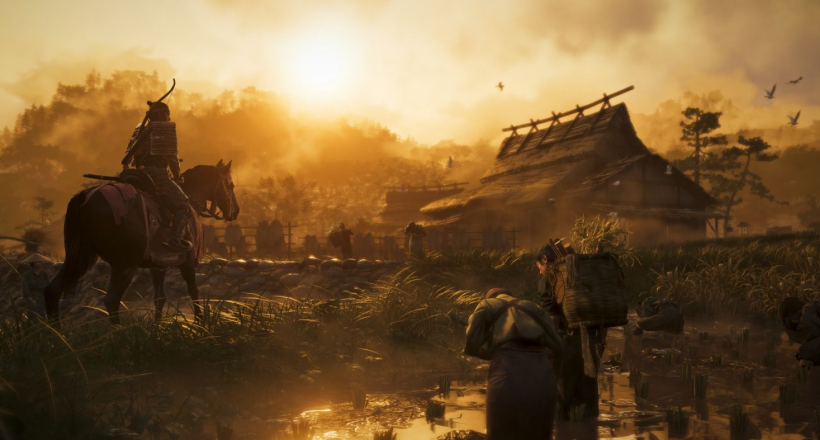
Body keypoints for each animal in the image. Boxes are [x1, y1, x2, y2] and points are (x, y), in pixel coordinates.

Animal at [44, 160, 240, 324]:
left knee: (52, 290)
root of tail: (86, 197)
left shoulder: (158, 266)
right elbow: (194, 292)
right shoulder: (188, 263)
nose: (236, 211)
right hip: (124, 265)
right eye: (230, 185)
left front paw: (157, 329)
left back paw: (57, 336)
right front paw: (201, 326)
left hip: (80, 258)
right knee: (111, 300)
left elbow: (159, 298)